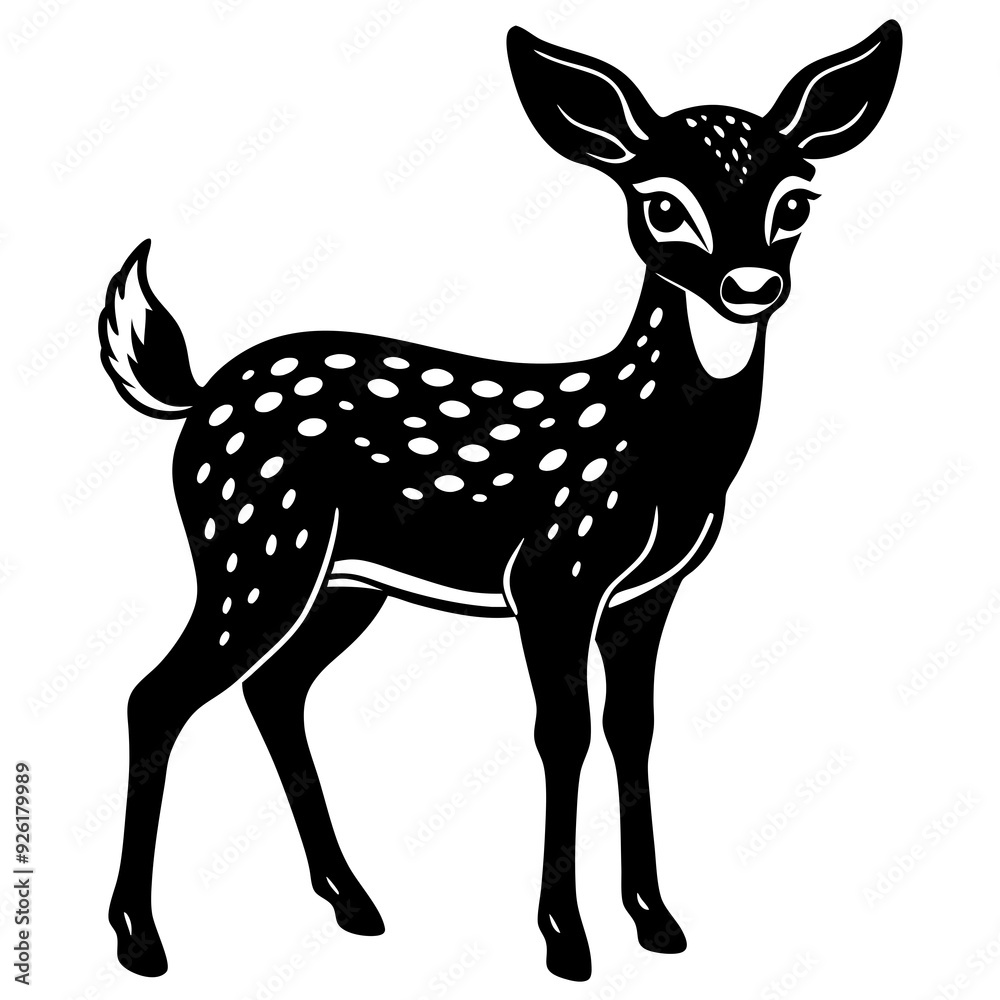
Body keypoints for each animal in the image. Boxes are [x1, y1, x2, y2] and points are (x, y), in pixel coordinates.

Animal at [100, 22, 901, 982]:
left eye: (797, 200)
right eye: (662, 204)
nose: (750, 285)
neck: (665, 454)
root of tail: (197, 394)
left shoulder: (649, 592)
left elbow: (633, 728)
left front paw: (656, 923)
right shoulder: (555, 571)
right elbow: (564, 732)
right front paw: (566, 941)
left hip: (341, 581)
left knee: (273, 689)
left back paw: (352, 903)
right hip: (253, 544)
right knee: (158, 695)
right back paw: (140, 939)